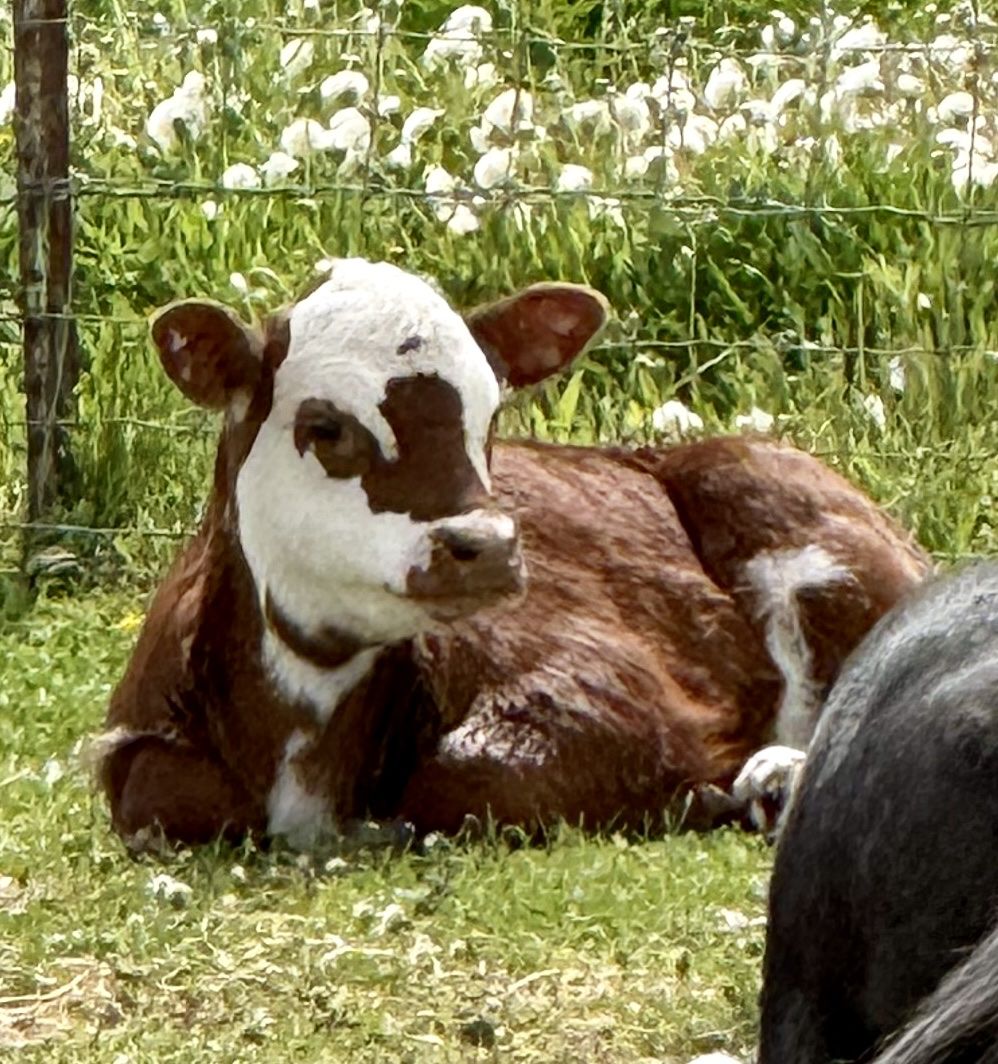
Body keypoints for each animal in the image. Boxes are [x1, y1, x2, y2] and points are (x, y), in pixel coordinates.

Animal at [93, 258, 930, 851]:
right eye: (326, 426)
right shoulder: (136, 749)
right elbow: (153, 792)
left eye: (490, 416)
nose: (486, 546)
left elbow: (469, 776)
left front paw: (714, 787)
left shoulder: (601, 685)